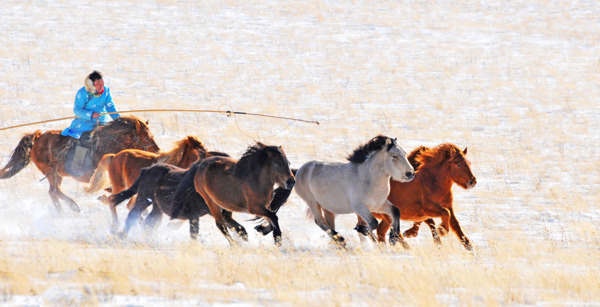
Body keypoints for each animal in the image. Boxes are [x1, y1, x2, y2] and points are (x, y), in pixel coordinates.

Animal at [0, 115, 159, 214]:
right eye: (146, 138)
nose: (158, 151)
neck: (107, 147)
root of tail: (38, 137)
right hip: (50, 172)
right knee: (55, 190)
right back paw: (73, 206)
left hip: (57, 174)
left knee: (52, 192)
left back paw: (61, 212)